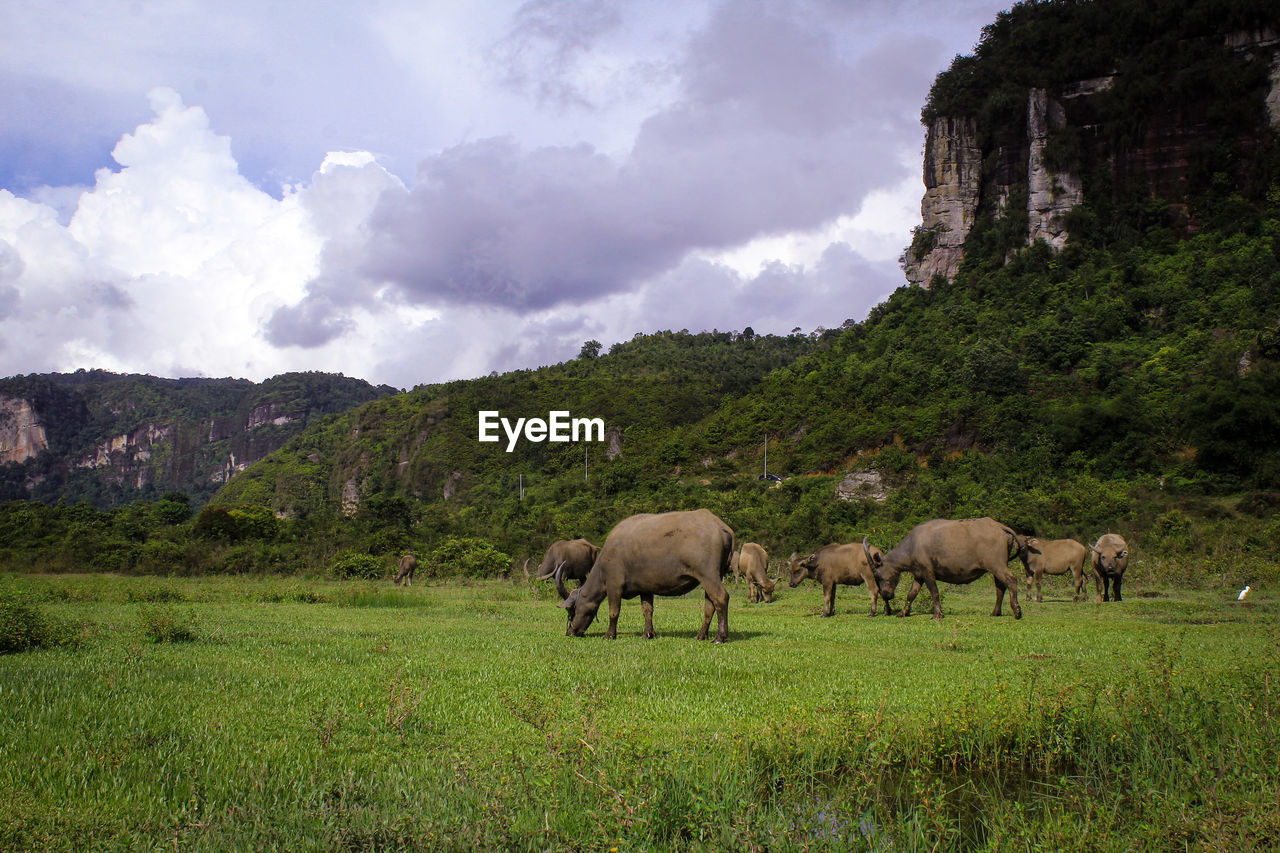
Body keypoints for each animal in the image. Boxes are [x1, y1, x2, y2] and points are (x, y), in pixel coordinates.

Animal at [560, 507, 732, 640]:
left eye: (572, 610)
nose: (570, 632)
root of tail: (719, 526)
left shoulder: (613, 586)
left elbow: (614, 612)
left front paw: (609, 634)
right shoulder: (645, 588)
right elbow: (647, 610)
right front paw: (648, 634)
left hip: (708, 575)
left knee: (721, 597)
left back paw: (720, 637)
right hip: (714, 576)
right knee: (710, 605)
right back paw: (701, 635)